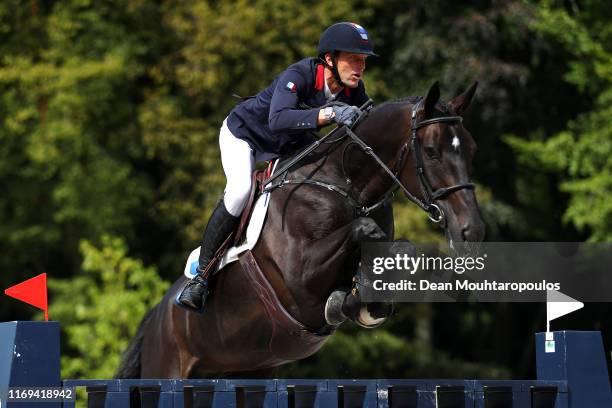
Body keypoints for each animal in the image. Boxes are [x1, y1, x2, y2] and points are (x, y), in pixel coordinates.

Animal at [117, 83, 486, 380]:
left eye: (472, 149)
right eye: (432, 151)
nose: (472, 231)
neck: (346, 182)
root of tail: (157, 316)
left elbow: (399, 249)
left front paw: (365, 299)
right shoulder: (300, 277)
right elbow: (364, 231)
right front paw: (345, 300)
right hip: (168, 369)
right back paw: (194, 291)